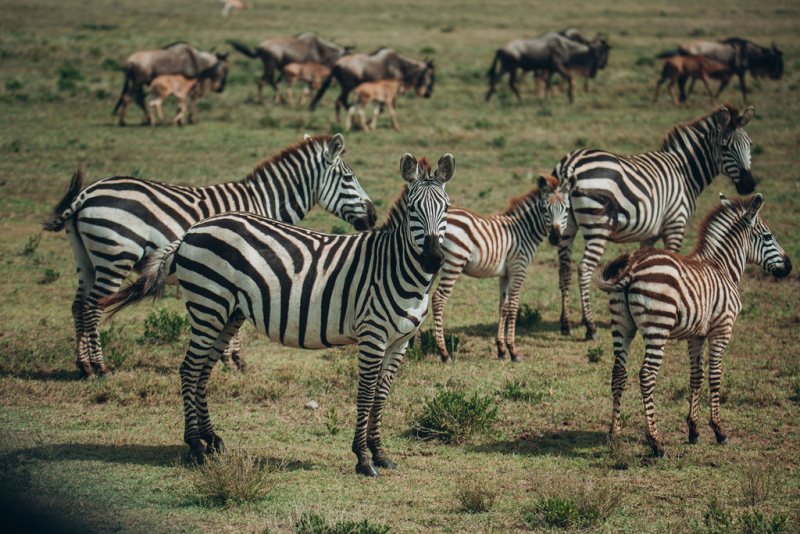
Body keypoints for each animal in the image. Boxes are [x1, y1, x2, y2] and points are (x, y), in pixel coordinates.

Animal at [43, 134, 376, 378]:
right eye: (349, 178)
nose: (373, 216)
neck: (263, 201)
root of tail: (87, 193)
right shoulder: (245, 269)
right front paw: (233, 361)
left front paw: (230, 358)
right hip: (115, 256)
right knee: (92, 307)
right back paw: (99, 367)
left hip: (86, 258)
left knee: (78, 305)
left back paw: (83, 365)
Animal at [99, 153, 455, 477]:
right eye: (412, 211)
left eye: (446, 210)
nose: (433, 259)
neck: (397, 268)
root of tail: (192, 230)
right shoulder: (372, 335)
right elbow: (366, 393)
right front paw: (363, 458)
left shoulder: (401, 341)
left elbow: (381, 395)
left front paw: (380, 454)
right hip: (207, 304)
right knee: (189, 369)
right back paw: (196, 448)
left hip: (228, 313)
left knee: (202, 371)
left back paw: (212, 440)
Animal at [432, 175, 570, 362]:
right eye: (544, 209)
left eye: (566, 209)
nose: (555, 238)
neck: (523, 232)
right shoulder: (518, 269)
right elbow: (513, 307)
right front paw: (513, 351)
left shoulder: (505, 274)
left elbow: (503, 307)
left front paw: (501, 349)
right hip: (454, 262)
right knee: (438, 299)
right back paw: (444, 352)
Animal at [554, 104, 757, 341]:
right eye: (725, 147)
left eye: (749, 144)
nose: (748, 185)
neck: (685, 173)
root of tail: (571, 163)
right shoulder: (675, 223)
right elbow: (674, 258)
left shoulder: (648, 235)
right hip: (597, 226)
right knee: (584, 268)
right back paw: (590, 326)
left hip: (566, 225)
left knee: (564, 268)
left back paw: (566, 323)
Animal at [597, 193, 791, 457]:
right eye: (768, 236)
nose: (789, 266)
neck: (723, 268)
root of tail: (633, 266)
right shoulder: (721, 330)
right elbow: (715, 376)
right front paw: (719, 430)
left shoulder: (696, 335)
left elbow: (696, 376)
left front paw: (693, 430)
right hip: (658, 327)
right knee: (646, 375)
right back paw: (656, 441)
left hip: (621, 324)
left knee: (618, 372)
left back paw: (614, 434)